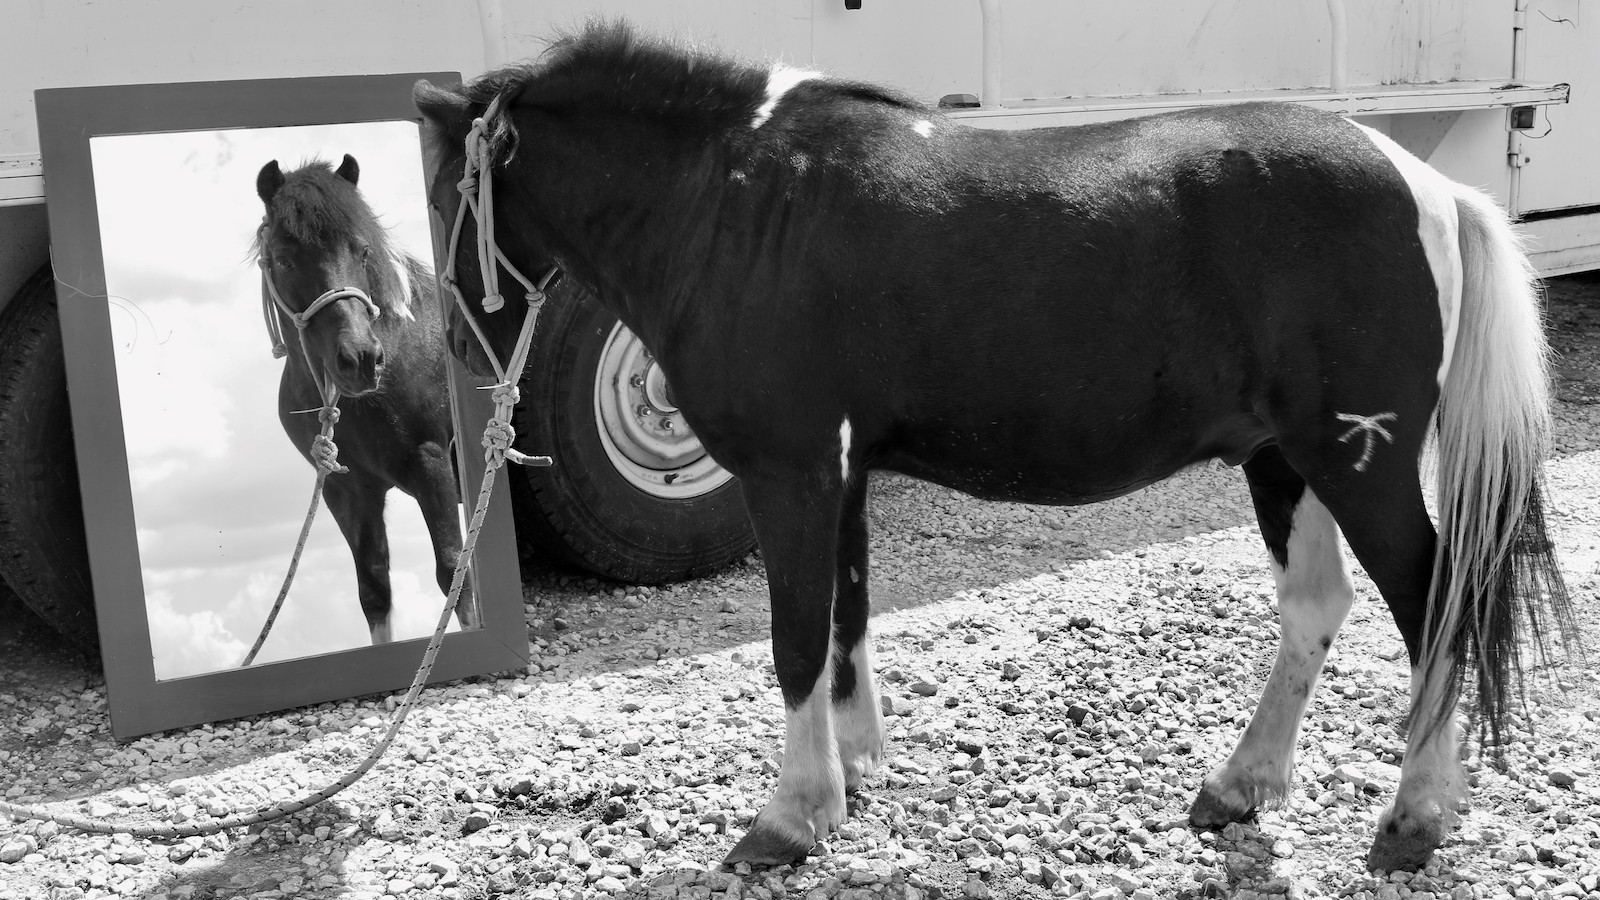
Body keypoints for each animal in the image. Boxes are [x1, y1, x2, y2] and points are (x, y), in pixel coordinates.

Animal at [253, 154, 480, 646]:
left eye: (362, 251)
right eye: (283, 259)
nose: (360, 359)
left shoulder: (431, 464)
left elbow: (456, 574)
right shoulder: (347, 491)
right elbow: (374, 590)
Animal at [412, 23, 1576, 872]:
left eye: (440, 196)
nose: (458, 355)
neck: (741, 205)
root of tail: (1429, 188)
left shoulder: (791, 474)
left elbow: (794, 641)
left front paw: (787, 819)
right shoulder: (841, 473)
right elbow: (843, 620)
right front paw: (852, 776)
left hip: (1356, 462)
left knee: (1437, 607)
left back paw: (1412, 821)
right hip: (1284, 461)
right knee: (1315, 608)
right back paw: (1237, 787)